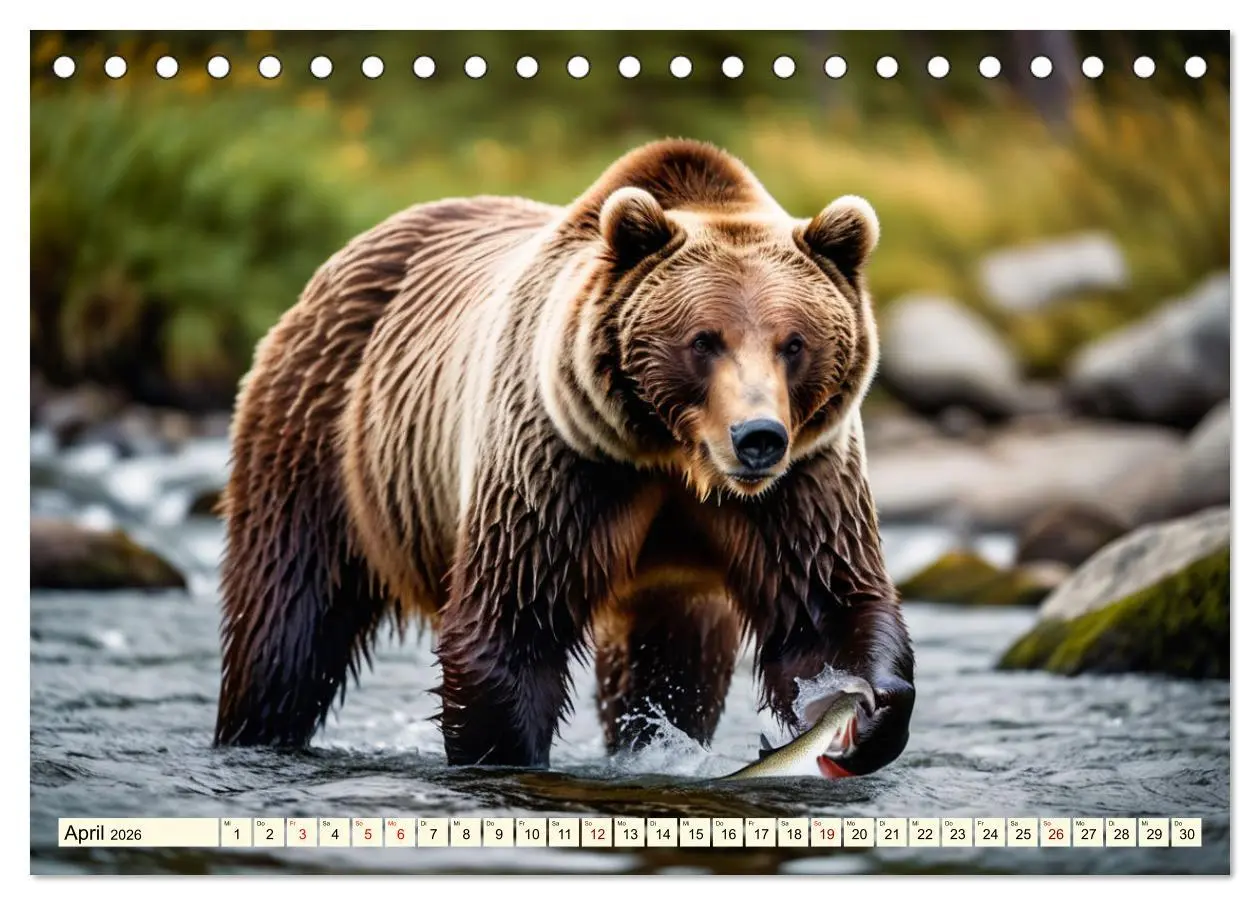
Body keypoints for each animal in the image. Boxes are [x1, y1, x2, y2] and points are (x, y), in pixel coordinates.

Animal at [214, 138, 915, 776]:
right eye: (704, 340)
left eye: (793, 342)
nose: (758, 436)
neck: (673, 456)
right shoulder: (561, 463)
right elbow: (512, 623)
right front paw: (504, 754)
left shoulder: (802, 482)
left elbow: (824, 604)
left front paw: (866, 713)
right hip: (325, 437)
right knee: (288, 620)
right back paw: (256, 729)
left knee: (673, 663)